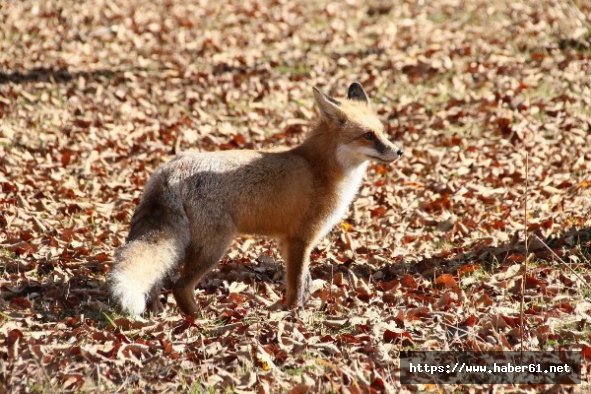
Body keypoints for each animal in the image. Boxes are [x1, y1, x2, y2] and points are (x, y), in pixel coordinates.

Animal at [109, 83, 404, 318]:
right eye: (368, 136)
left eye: (382, 132)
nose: (398, 151)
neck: (319, 168)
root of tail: (169, 170)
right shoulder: (300, 238)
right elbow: (296, 284)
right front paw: (291, 312)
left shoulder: (289, 241)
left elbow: (304, 281)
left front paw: (299, 306)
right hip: (214, 246)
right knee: (179, 287)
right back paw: (200, 318)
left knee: (158, 280)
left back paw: (157, 312)